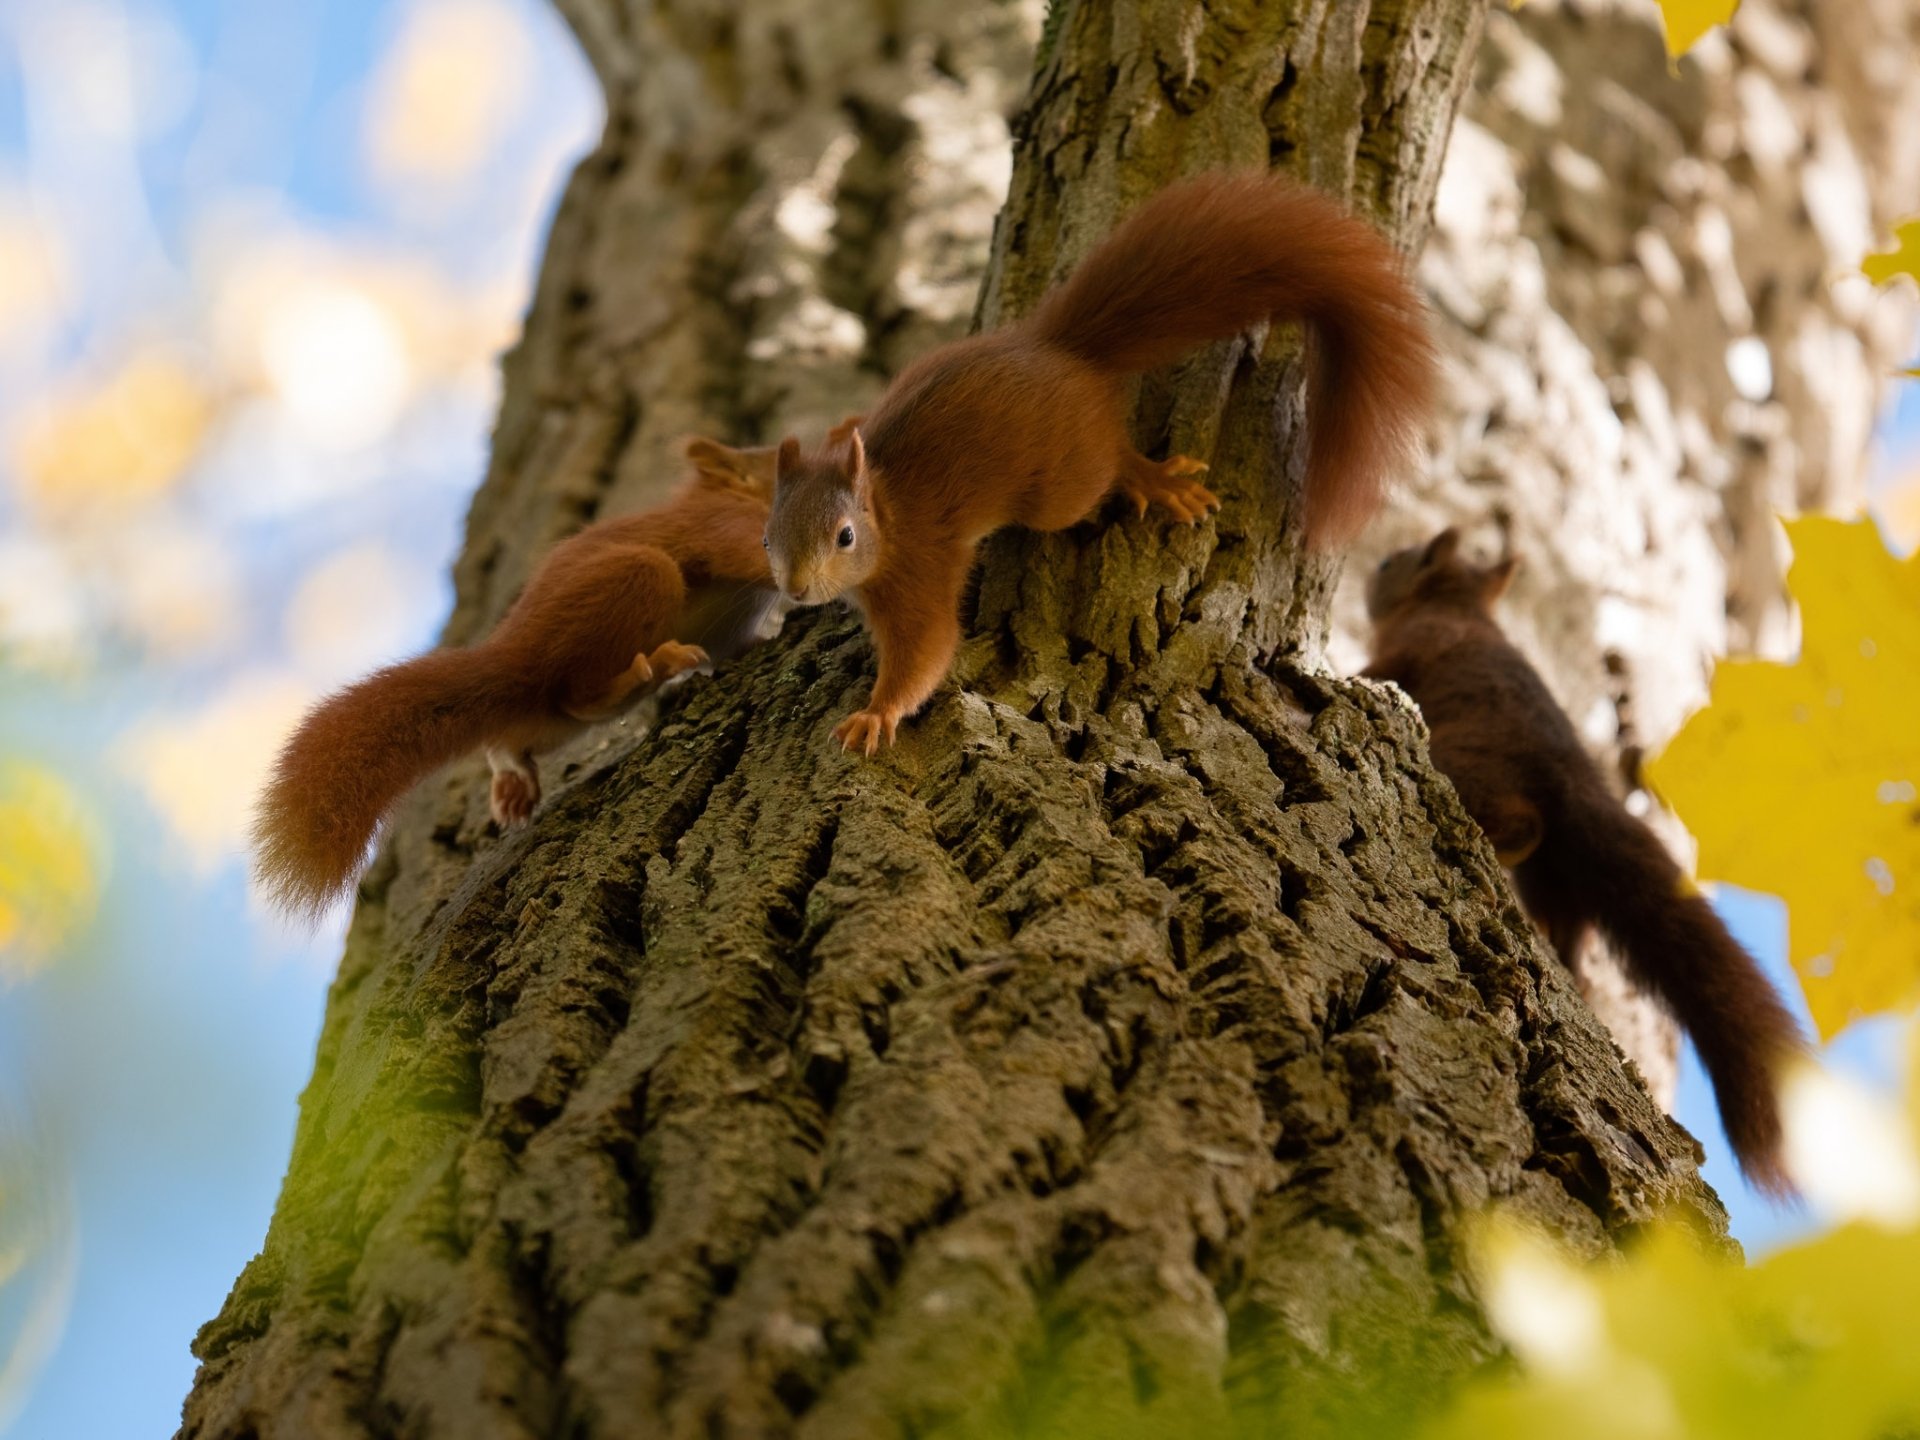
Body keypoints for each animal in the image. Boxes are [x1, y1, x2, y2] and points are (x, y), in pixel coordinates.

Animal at [253, 436, 784, 919]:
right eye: (781, 457)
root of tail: (519, 657)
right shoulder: (721, 526)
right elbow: (758, 560)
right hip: (638, 577)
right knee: (579, 694)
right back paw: (648, 673)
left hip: (549, 723)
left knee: (521, 735)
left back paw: (514, 779)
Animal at [761, 170, 1437, 754]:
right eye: (767, 537)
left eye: (845, 537)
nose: (793, 590)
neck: (887, 510)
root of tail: (1064, 350)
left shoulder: (919, 573)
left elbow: (925, 651)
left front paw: (875, 714)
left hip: (1062, 489)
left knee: (1108, 463)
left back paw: (1153, 479)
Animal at [1364, 528, 1806, 1196]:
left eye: (1394, 561)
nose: (1369, 569)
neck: (1460, 604)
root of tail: (1573, 781)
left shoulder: (1415, 645)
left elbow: (1377, 671)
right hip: (1557, 882)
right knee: (1571, 932)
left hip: (1477, 769)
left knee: (1514, 821)